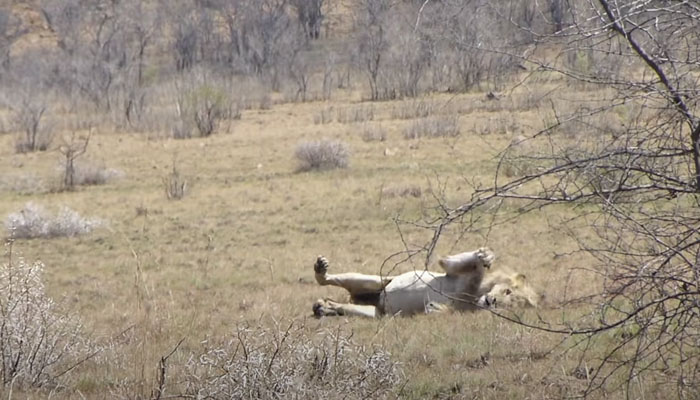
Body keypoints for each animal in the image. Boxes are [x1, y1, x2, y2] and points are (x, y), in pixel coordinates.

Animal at [312, 248, 540, 318]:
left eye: (509, 307)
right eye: (508, 291)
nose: (492, 301)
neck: (474, 296)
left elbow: (444, 311)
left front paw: (434, 308)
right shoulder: (453, 272)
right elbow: (464, 263)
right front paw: (485, 255)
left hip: (378, 313)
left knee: (348, 306)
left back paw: (325, 307)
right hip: (378, 280)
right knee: (328, 280)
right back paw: (321, 269)